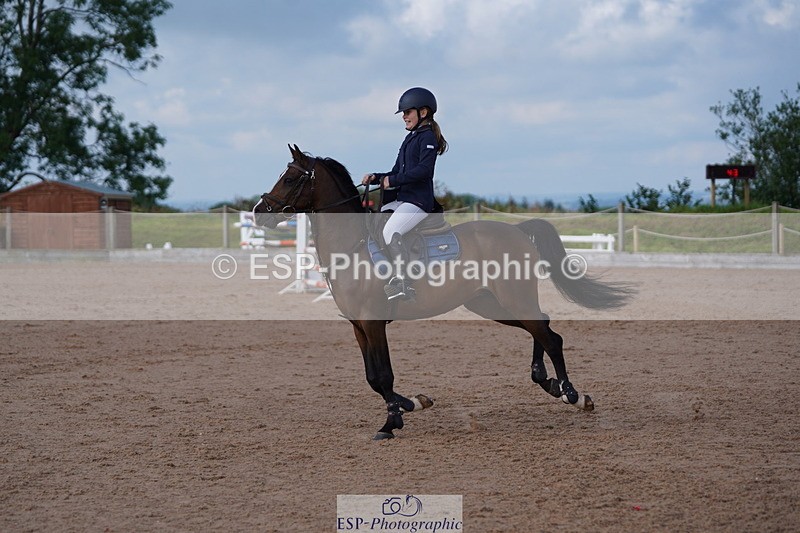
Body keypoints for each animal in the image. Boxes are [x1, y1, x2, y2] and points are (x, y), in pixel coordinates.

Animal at [254, 144, 634, 440]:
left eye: (290, 178)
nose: (259, 213)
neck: (352, 247)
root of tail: (517, 231)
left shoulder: (374, 323)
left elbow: (383, 375)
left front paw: (392, 423)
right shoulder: (358, 327)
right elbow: (373, 379)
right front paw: (412, 404)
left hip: (512, 299)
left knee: (550, 336)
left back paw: (571, 394)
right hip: (492, 305)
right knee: (543, 325)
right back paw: (549, 383)